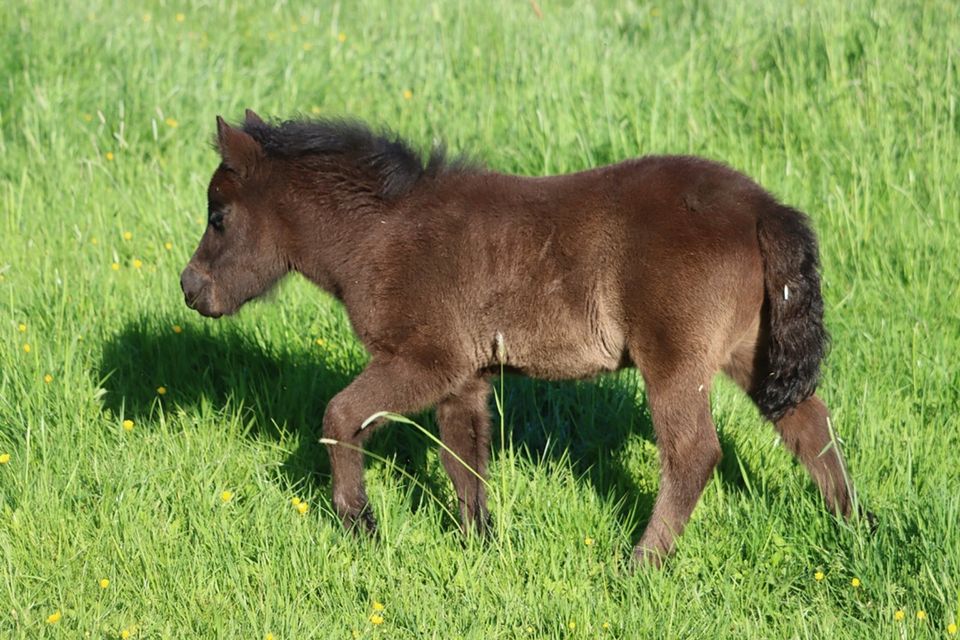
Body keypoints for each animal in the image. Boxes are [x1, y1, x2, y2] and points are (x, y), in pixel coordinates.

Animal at [180, 110, 856, 564]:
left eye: (219, 216)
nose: (190, 288)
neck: (381, 232)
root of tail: (762, 207)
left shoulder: (422, 360)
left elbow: (341, 416)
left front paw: (361, 528)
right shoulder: (466, 376)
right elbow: (464, 458)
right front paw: (480, 546)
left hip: (675, 360)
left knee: (693, 454)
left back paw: (639, 563)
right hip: (753, 352)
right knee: (810, 426)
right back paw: (857, 527)